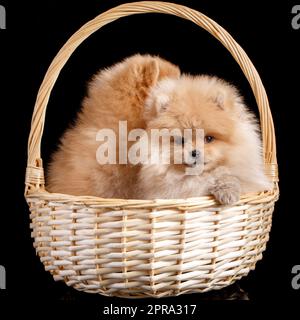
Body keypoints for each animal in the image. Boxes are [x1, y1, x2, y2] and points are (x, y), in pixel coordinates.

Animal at [136, 75, 272, 202]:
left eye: (209, 138)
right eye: (181, 141)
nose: (194, 152)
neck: (199, 177)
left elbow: (227, 175)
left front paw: (228, 192)